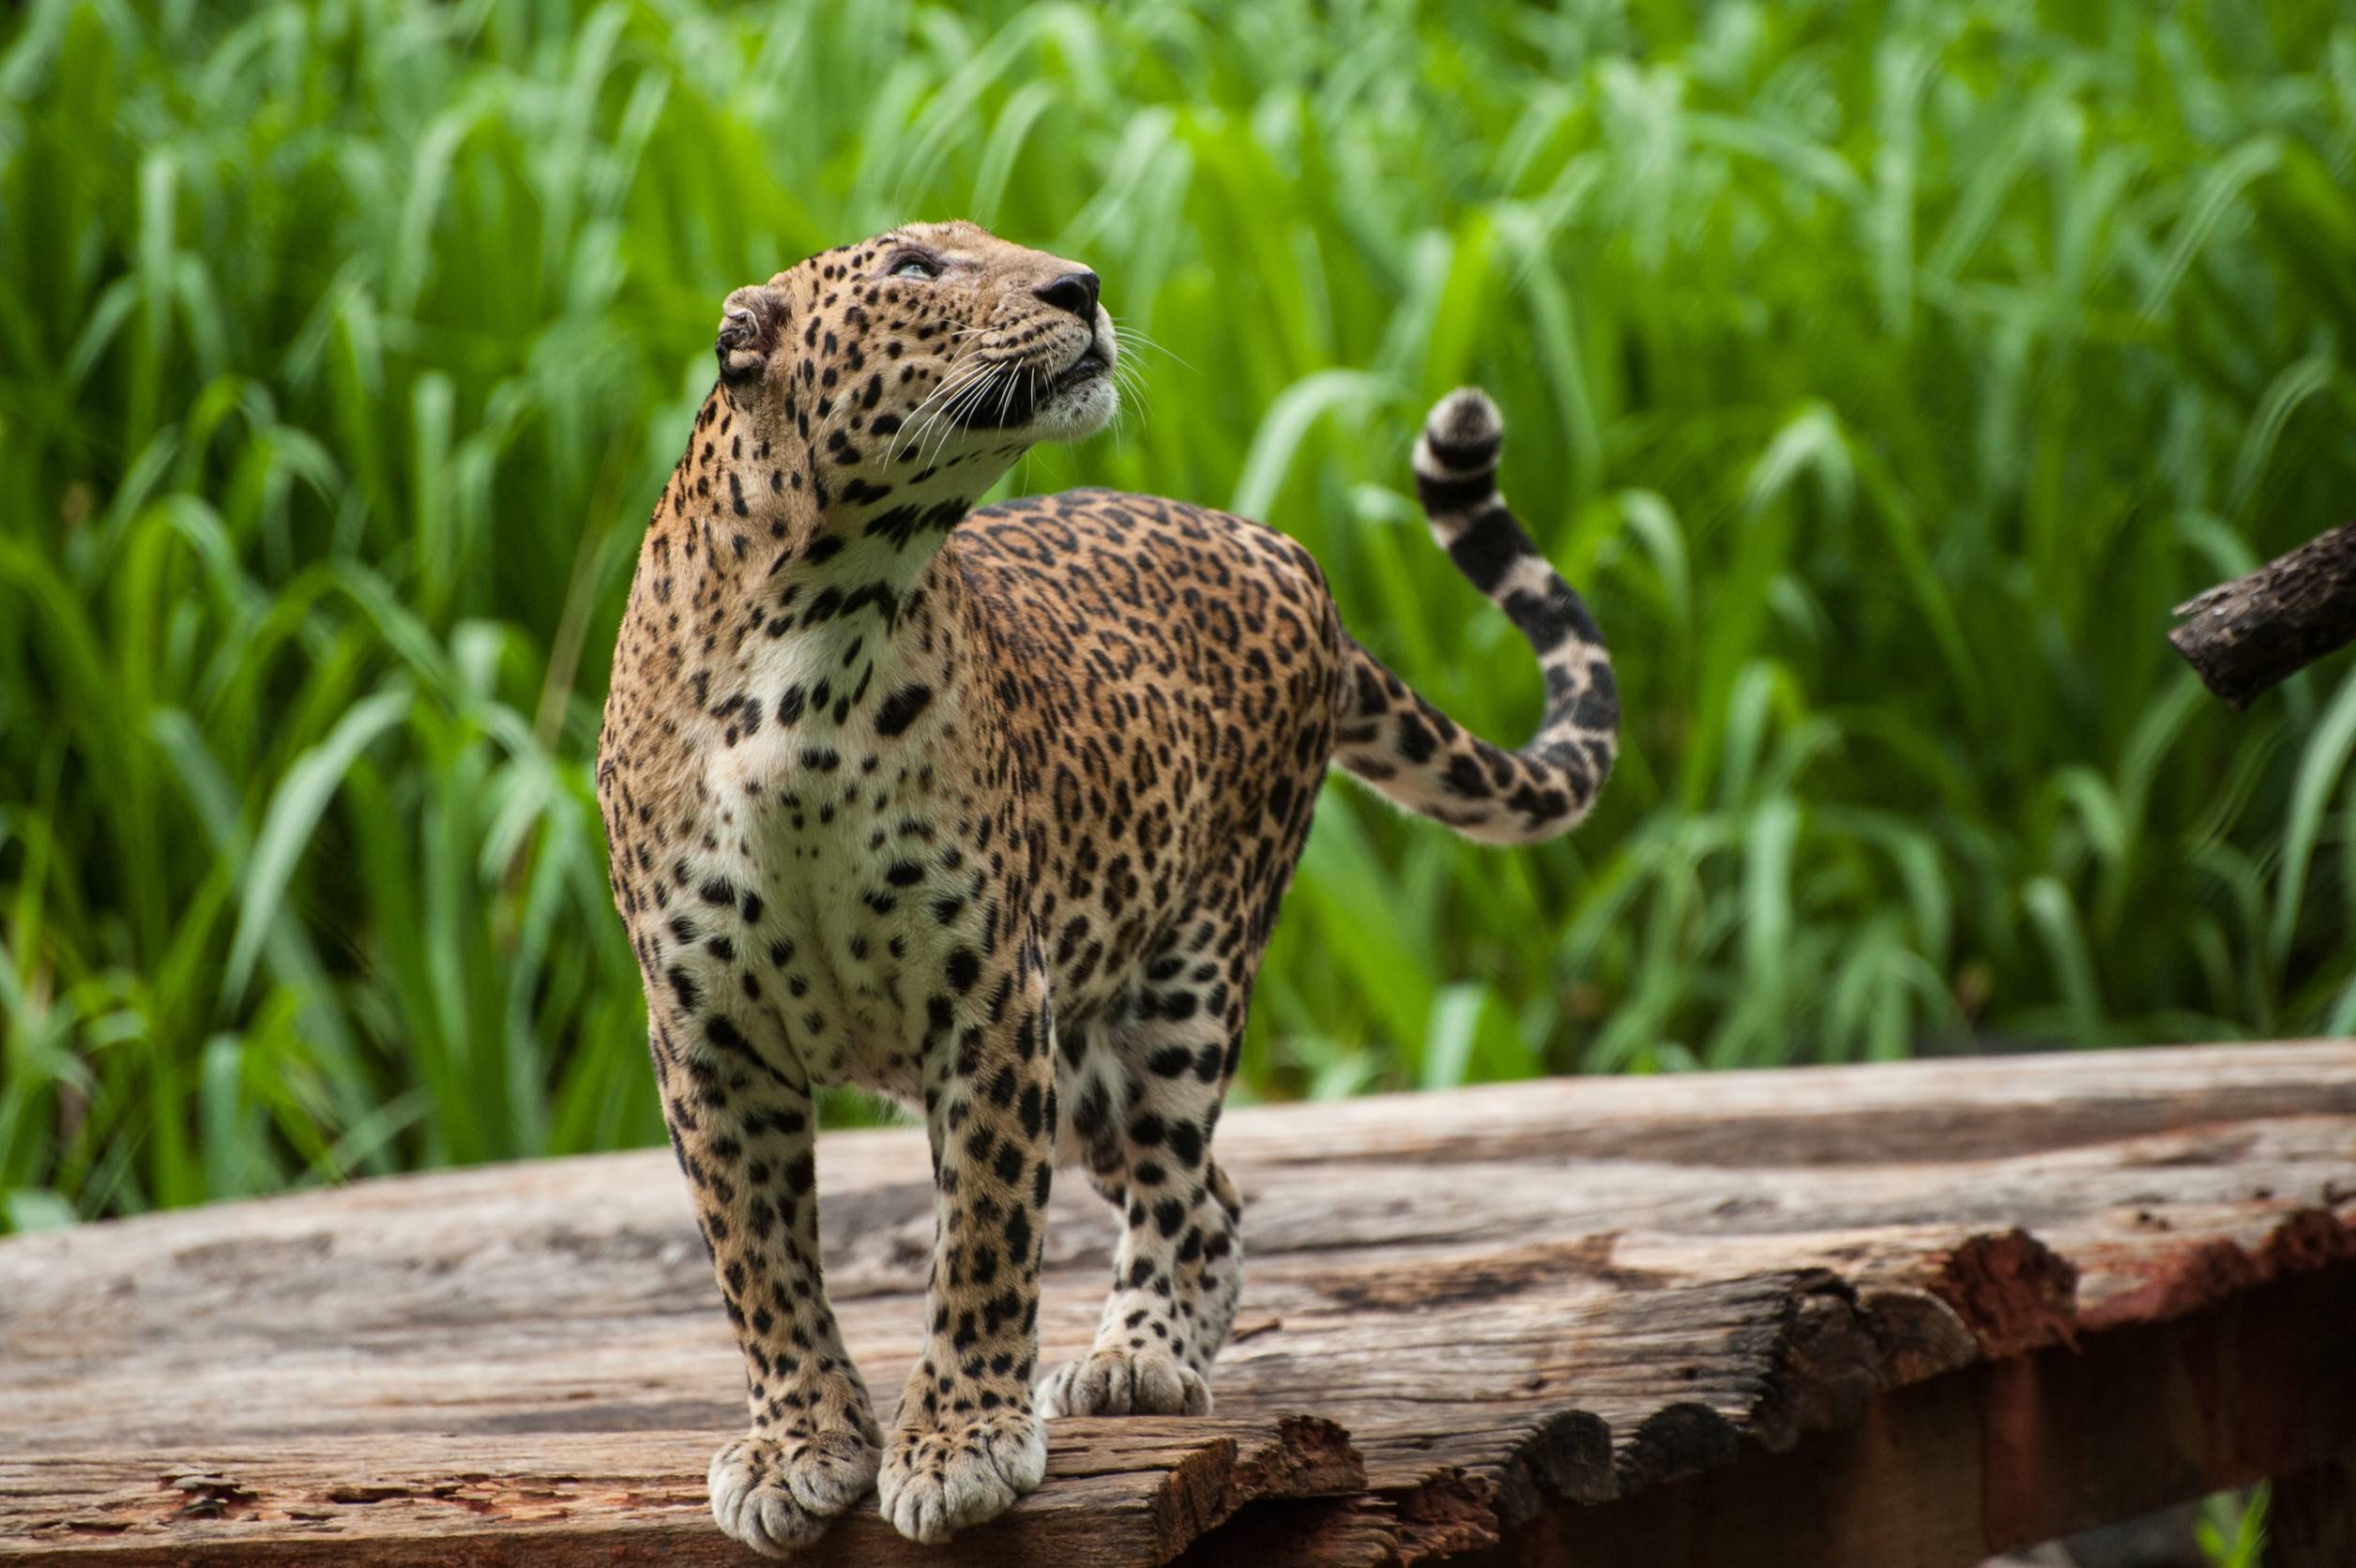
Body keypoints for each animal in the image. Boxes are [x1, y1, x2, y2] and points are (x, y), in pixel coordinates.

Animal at [594, 220, 1618, 1555]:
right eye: (916, 268)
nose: (1078, 286)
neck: (818, 638)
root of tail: (1281, 550)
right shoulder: (708, 1034)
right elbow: (755, 1257)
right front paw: (797, 1444)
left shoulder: (989, 1002)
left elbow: (983, 1231)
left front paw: (960, 1442)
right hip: (1086, 1064)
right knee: (1214, 1193)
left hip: (1184, 977)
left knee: (1184, 1185)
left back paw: (1141, 1357)